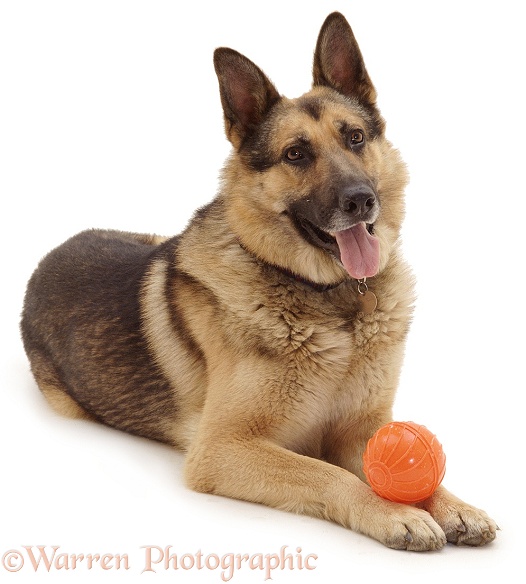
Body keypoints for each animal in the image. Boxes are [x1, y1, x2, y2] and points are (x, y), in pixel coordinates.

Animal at [21, 11, 500, 548]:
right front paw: (394, 512)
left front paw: (453, 505)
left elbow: (414, 473)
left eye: (355, 137)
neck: (335, 302)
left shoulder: (361, 432)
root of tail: (50, 255)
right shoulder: (224, 448)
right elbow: (330, 475)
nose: (361, 200)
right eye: (295, 154)